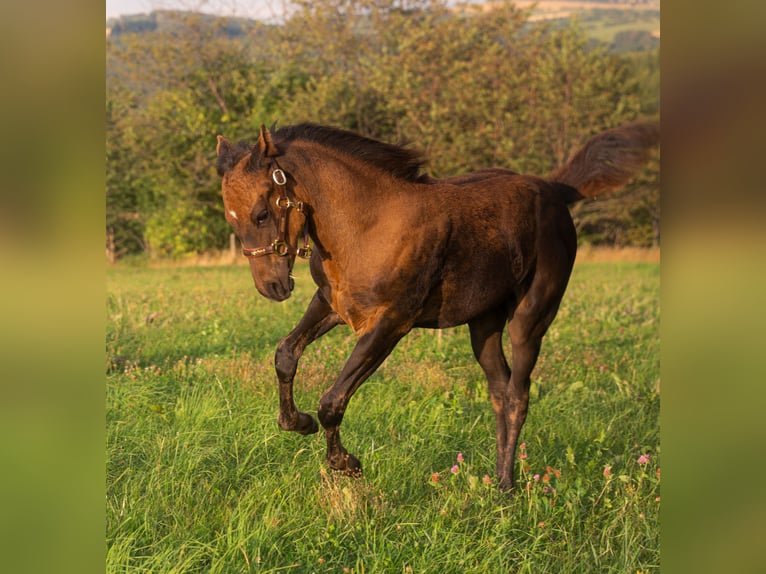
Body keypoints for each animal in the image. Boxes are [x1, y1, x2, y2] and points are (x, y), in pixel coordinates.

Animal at [214, 121, 659, 491]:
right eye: (230, 219)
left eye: (261, 213)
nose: (272, 287)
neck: (367, 225)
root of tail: (554, 190)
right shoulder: (331, 305)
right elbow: (286, 354)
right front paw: (297, 422)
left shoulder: (390, 323)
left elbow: (333, 400)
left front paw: (347, 463)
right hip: (483, 325)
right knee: (500, 390)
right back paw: (497, 481)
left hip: (531, 319)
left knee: (518, 394)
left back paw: (507, 488)